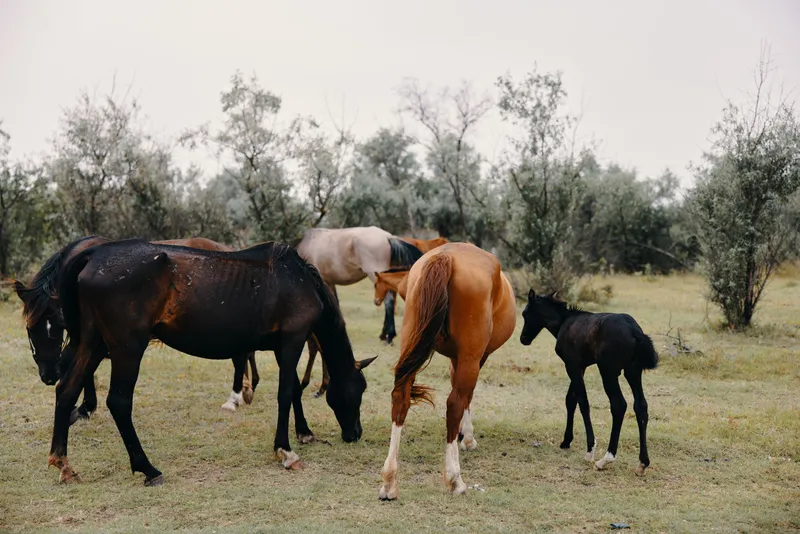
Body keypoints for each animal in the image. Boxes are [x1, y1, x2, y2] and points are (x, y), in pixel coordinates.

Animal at [11, 236, 260, 422]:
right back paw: (248, 390)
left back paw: (236, 397)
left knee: (240, 356)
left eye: (57, 326)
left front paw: (85, 408)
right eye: (30, 329)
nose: (49, 376)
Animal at [50, 239, 375, 486]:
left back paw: (63, 463)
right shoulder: (293, 342)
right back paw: (147, 468)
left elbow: (294, 389)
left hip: (93, 342)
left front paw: (304, 432)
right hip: (127, 348)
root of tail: (94, 254)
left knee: (66, 390)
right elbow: (285, 394)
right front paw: (285, 450)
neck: (301, 281)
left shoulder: (283, 346)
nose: (355, 434)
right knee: (118, 402)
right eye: (358, 390)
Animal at [378, 243, 516, 500]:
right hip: (471, 358)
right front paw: (467, 438)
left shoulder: (455, 358)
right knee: (454, 404)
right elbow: (467, 397)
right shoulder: (475, 358)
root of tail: (447, 256)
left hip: (411, 342)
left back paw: (389, 481)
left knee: (400, 398)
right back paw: (455, 480)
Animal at [519, 289, 658, 476]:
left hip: (608, 372)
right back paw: (643, 463)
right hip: (633, 372)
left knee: (619, 405)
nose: (523, 338)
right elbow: (571, 399)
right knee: (641, 406)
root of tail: (634, 330)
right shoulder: (580, 366)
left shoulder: (572, 366)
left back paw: (605, 459)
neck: (565, 322)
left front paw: (590, 449)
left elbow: (583, 402)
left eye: (525, 314)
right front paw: (566, 441)